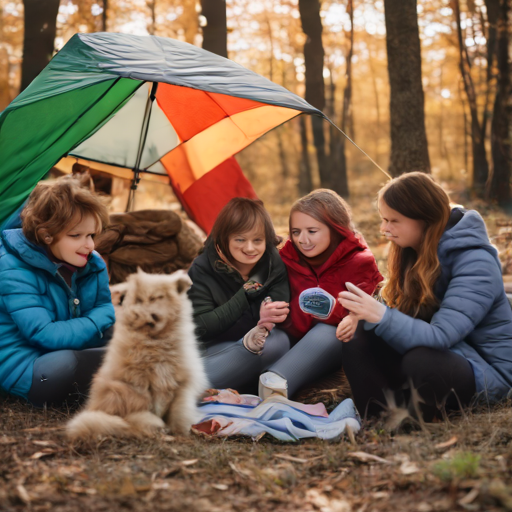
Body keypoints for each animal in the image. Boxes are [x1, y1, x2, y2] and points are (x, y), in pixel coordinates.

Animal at [67, 268, 208, 440]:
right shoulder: (140, 385)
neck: (156, 342)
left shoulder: (181, 385)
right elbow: (149, 411)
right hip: (118, 392)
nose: (134, 314)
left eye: (154, 298)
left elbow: (178, 413)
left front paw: (180, 432)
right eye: (138, 300)